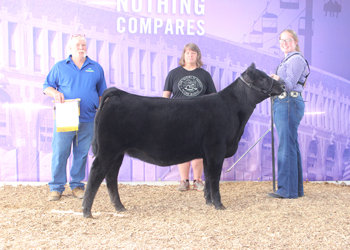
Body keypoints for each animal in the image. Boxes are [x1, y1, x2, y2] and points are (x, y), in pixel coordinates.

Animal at [82, 63, 284, 218]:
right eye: (262, 78)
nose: (282, 86)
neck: (233, 111)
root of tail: (119, 93)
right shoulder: (216, 149)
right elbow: (215, 178)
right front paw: (219, 205)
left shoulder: (207, 153)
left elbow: (208, 177)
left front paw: (208, 201)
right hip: (108, 150)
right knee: (95, 175)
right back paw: (86, 211)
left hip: (118, 153)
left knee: (111, 177)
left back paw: (119, 207)